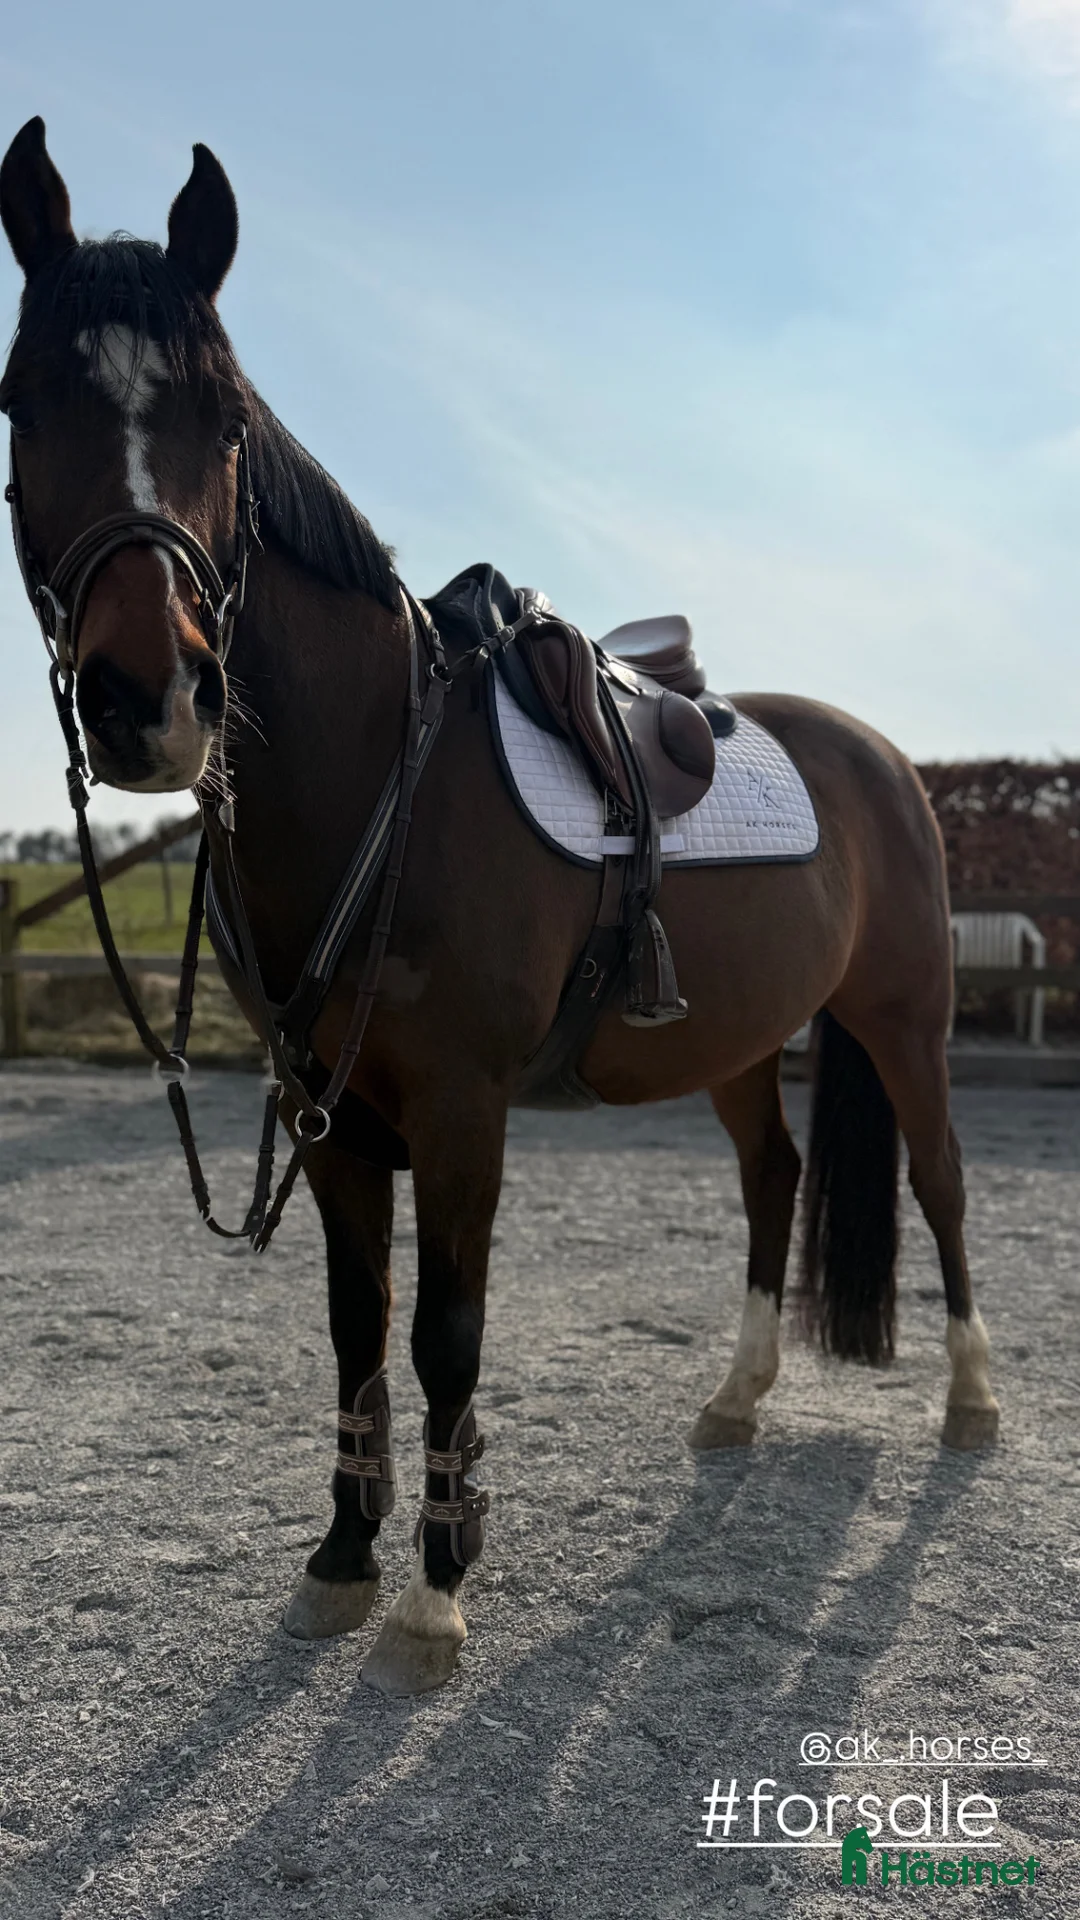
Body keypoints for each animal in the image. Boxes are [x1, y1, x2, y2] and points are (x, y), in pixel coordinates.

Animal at [0, 119, 999, 1698]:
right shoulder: (331, 1120)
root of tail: (885, 759)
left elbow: (445, 1338)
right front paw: (344, 1555)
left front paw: (435, 1590)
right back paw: (736, 1398)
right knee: (775, 1179)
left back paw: (971, 1403)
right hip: (737, 1045)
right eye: (21, 404)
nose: (148, 700)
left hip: (904, 1021)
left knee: (944, 1184)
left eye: (225, 422)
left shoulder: (464, 1115)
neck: (381, 780)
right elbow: (356, 1329)